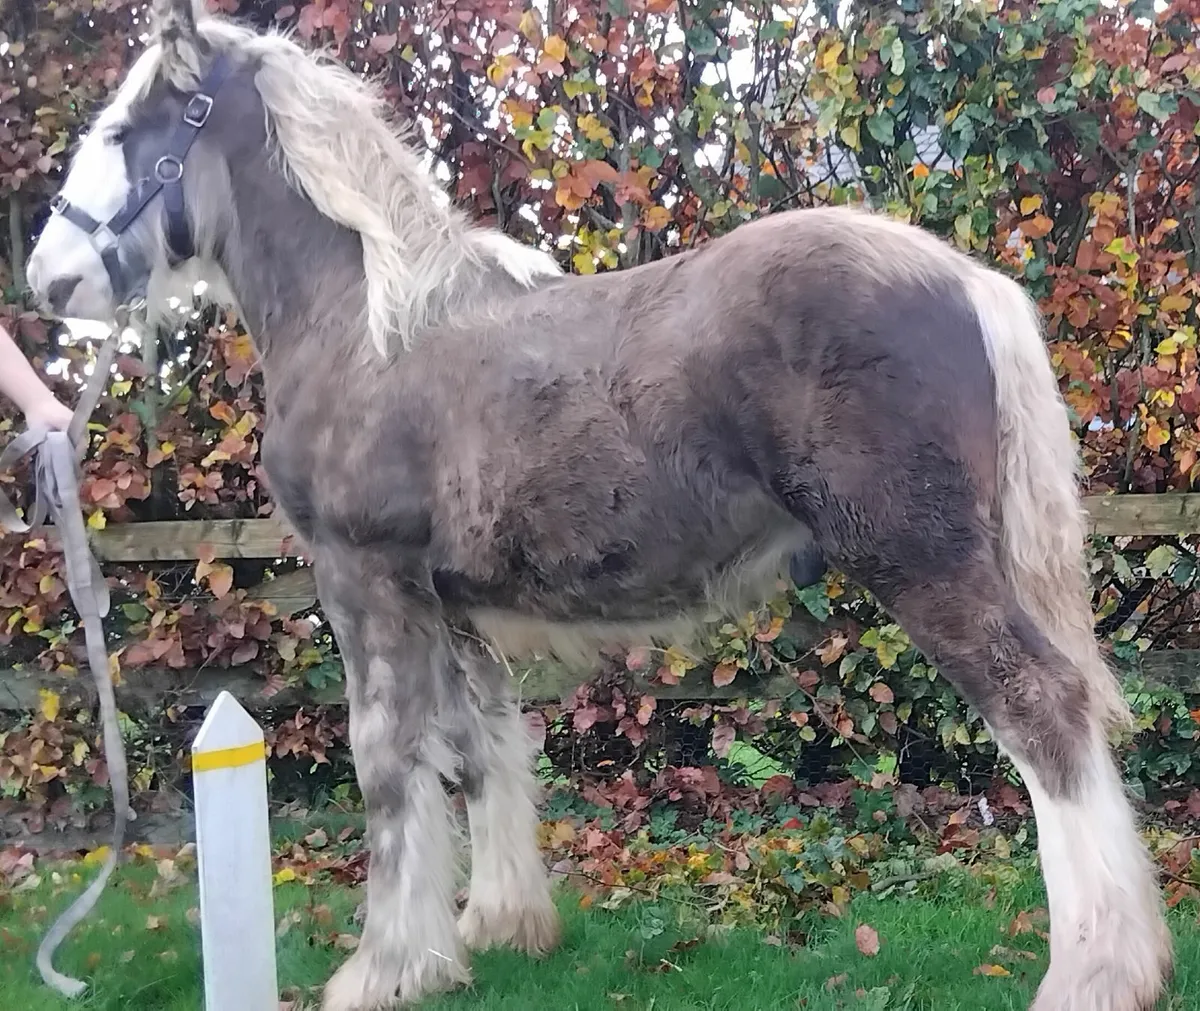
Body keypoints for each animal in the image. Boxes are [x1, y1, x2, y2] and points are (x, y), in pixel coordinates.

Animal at [25, 2, 1172, 1009]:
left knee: (1044, 712)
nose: (47, 277)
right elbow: (480, 749)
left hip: (927, 565)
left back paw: (1096, 973)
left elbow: (388, 761)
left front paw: (386, 969)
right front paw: (496, 928)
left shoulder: (366, 582)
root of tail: (967, 280)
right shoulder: (452, 605)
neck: (369, 326)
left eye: (126, 133)